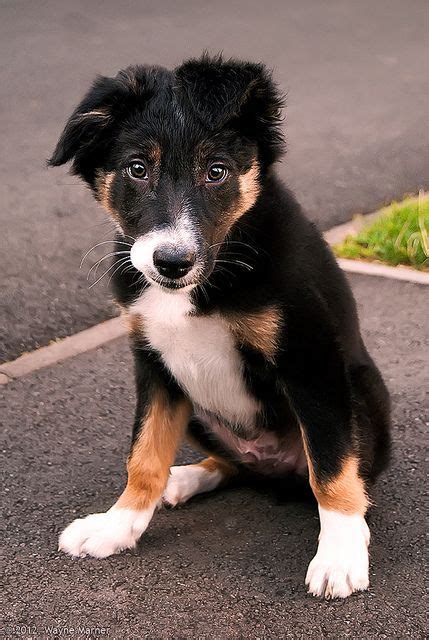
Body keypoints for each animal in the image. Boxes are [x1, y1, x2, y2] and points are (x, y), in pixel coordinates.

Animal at [48, 56, 390, 600]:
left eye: (217, 172)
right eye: (137, 169)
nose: (171, 262)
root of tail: (271, 464)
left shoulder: (312, 360)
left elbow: (333, 466)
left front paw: (339, 556)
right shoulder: (155, 366)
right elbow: (143, 456)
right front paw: (115, 527)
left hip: (361, 391)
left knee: (338, 471)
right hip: (194, 405)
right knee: (230, 464)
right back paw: (185, 479)